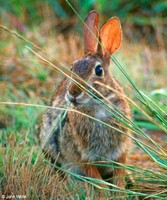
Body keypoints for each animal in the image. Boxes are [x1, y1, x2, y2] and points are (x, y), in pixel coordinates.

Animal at [39, 10, 132, 190]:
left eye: (98, 70)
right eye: (72, 68)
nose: (73, 92)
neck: (98, 107)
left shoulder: (120, 152)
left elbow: (119, 178)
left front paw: (121, 193)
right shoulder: (84, 157)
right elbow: (98, 181)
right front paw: (104, 194)